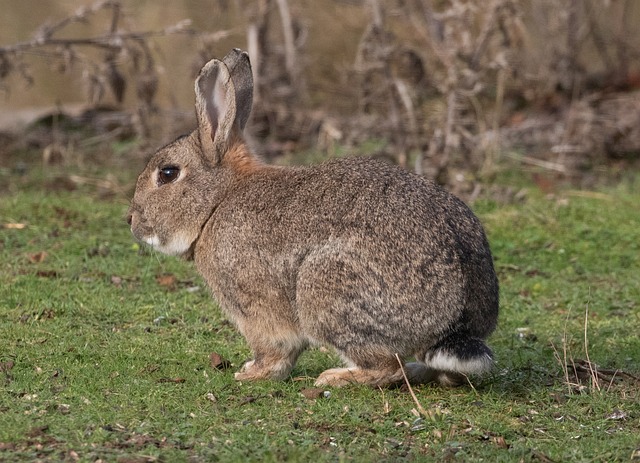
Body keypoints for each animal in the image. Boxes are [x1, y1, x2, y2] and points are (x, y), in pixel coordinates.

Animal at [129, 49, 500, 388]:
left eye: (167, 173)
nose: (132, 222)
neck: (217, 202)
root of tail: (457, 323)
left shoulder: (255, 307)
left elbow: (274, 350)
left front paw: (252, 374)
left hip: (324, 291)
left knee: (386, 367)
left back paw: (335, 378)